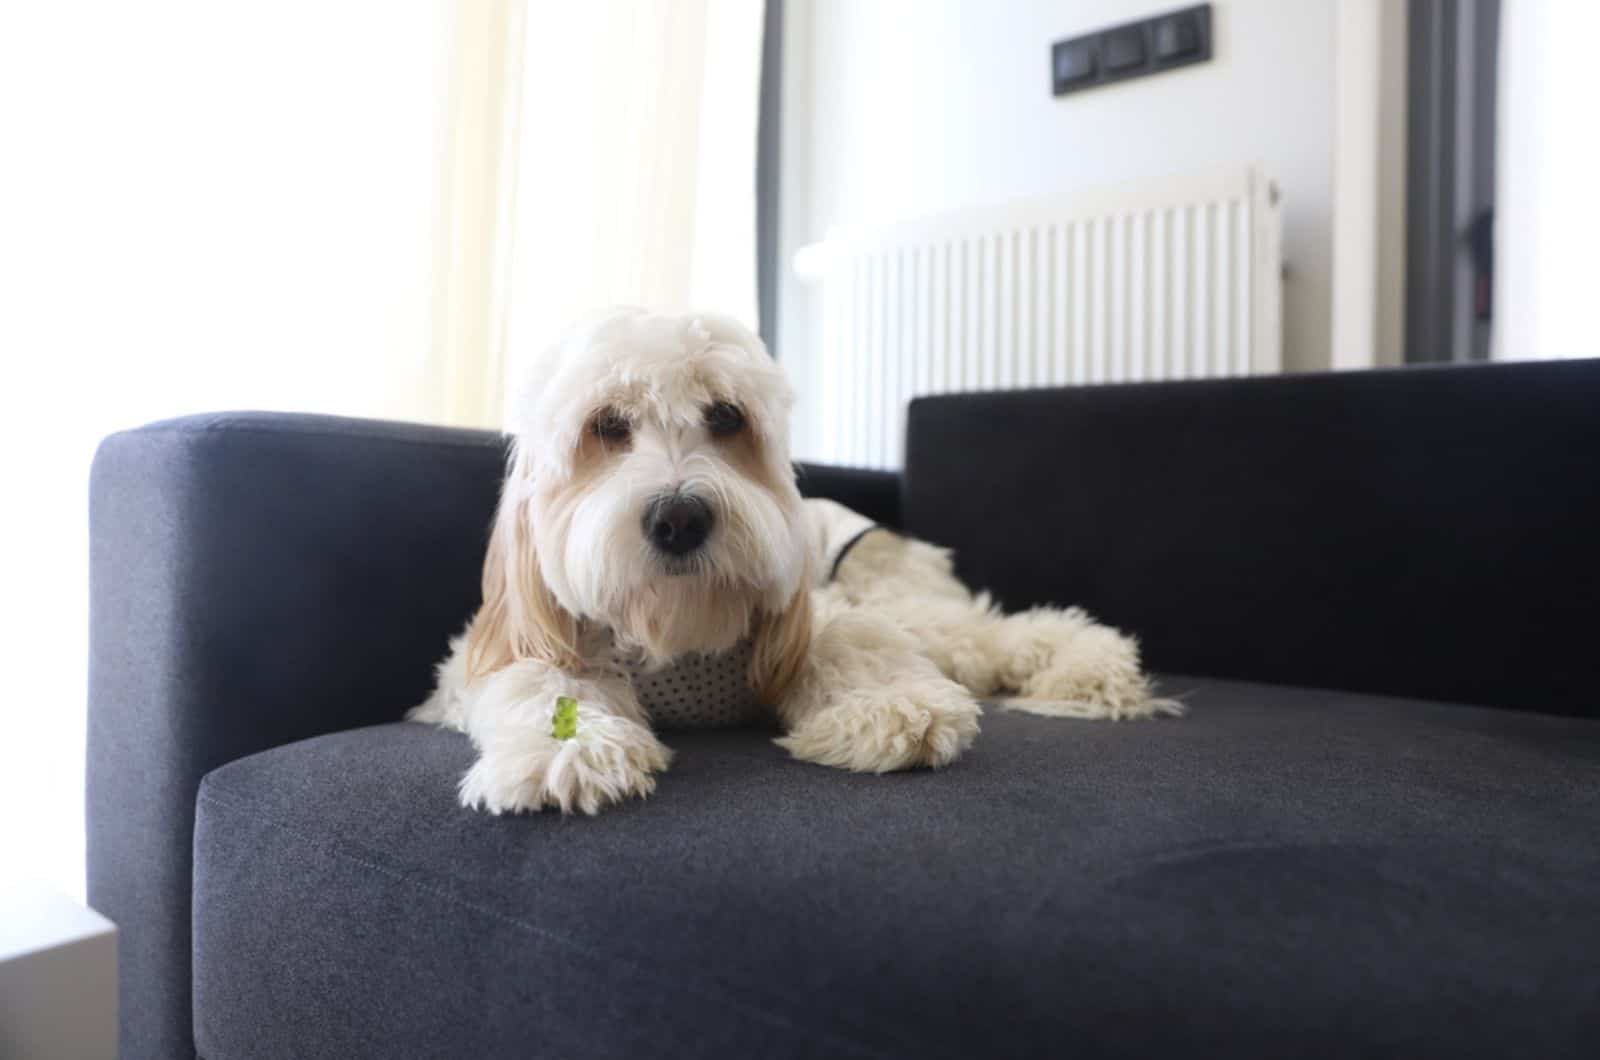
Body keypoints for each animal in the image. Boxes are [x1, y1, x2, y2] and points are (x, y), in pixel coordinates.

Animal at [412, 312, 1177, 816]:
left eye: (726, 417)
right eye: (607, 425)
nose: (680, 519)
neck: (680, 633)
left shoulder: (819, 611)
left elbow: (848, 646)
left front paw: (883, 708)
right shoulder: (511, 649)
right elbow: (540, 681)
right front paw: (566, 749)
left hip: (900, 597)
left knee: (997, 632)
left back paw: (1090, 666)